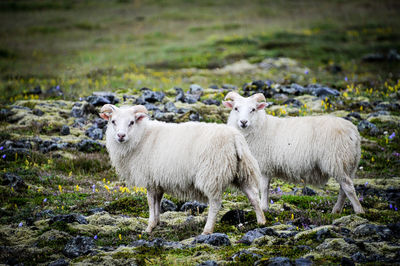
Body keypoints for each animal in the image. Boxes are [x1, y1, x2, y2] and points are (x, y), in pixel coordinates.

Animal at [100, 104, 266, 235]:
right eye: (113, 121)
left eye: (131, 122)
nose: (120, 136)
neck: (141, 137)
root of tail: (234, 137)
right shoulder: (158, 180)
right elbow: (157, 202)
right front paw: (157, 223)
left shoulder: (150, 180)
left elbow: (150, 203)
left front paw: (149, 228)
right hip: (242, 172)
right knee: (253, 196)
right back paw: (261, 221)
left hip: (211, 174)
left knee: (215, 203)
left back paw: (207, 230)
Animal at [223, 92, 364, 214]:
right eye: (235, 108)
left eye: (253, 109)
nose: (243, 122)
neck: (260, 127)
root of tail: (353, 131)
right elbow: (266, 188)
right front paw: (266, 207)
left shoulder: (264, 166)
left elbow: (263, 188)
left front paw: (263, 208)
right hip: (349, 164)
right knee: (343, 189)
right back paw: (337, 210)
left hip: (336, 160)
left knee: (348, 187)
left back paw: (359, 211)